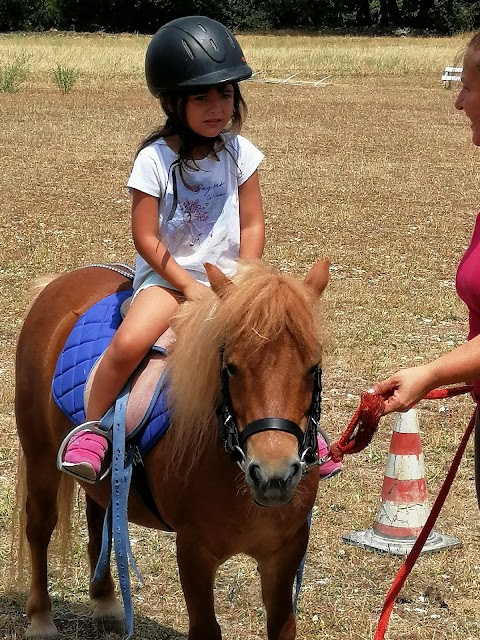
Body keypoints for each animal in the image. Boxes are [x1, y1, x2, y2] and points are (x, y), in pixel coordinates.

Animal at [14, 258, 330, 640]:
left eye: (312, 367)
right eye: (231, 368)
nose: (274, 475)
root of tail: (65, 279)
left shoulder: (285, 552)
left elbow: (282, 626)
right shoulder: (193, 551)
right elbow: (206, 628)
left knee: (98, 518)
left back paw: (105, 603)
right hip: (40, 455)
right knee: (39, 527)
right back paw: (40, 619)